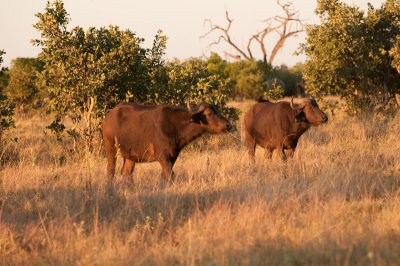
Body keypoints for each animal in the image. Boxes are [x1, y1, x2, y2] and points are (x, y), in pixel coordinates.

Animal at [103, 101, 231, 184]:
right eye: (209, 113)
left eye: (217, 111)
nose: (228, 125)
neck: (176, 126)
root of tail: (108, 116)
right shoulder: (162, 156)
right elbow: (169, 175)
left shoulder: (173, 156)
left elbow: (165, 175)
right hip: (111, 149)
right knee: (110, 170)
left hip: (131, 156)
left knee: (126, 173)